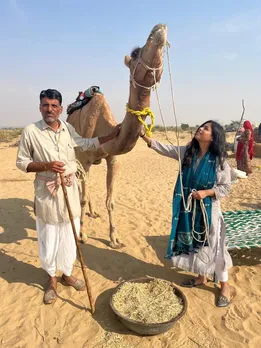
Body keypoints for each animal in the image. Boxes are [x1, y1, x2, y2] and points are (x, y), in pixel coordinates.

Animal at [66, 23, 167, 247]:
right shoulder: (85, 159)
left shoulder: (112, 159)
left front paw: (115, 238)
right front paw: (82, 235)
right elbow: (82, 197)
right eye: (135, 52)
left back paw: (93, 212)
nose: (160, 28)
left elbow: (110, 201)